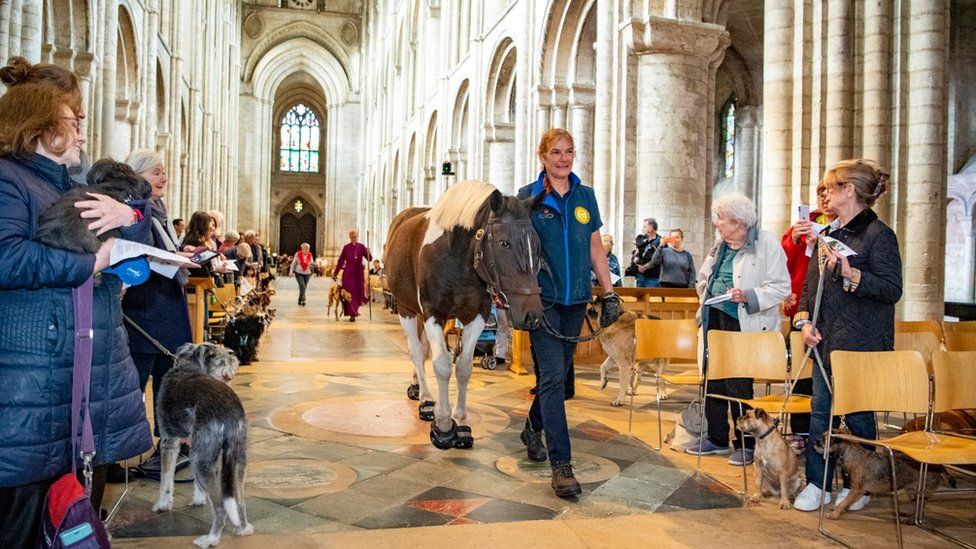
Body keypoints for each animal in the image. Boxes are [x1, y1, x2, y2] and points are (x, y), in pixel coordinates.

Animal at [386, 182, 544, 448]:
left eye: (537, 244)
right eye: (504, 243)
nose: (532, 315)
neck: (459, 259)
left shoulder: (476, 316)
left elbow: (463, 367)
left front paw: (460, 423)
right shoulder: (433, 314)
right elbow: (442, 364)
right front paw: (443, 425)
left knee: (424, 350)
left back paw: (418, 386)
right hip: (406, 309)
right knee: (416, 352)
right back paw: (426, 399)